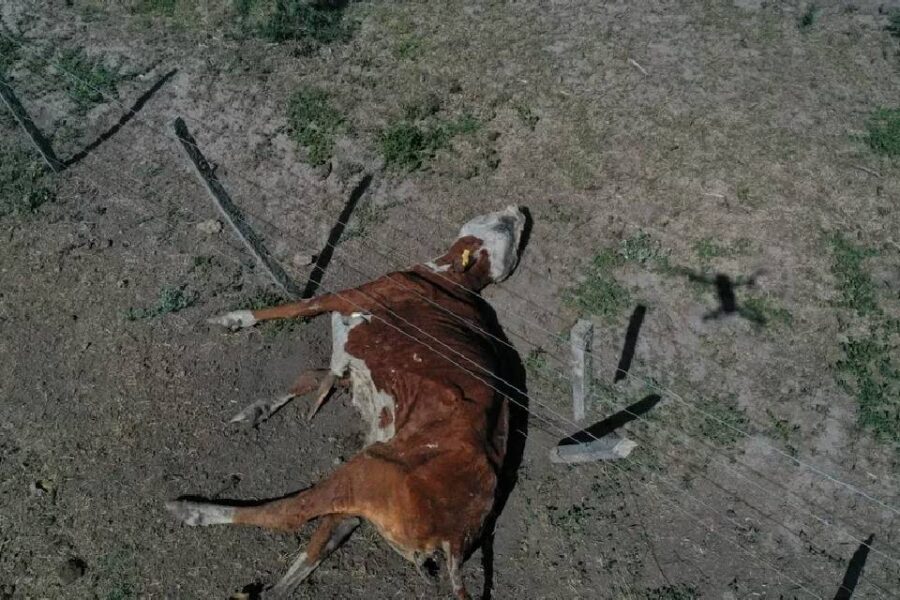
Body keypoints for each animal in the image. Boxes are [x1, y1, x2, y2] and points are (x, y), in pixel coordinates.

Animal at [166, 206, 528, 599]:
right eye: (504, 224)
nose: (518, 210)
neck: (447, 278)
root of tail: (456, 539)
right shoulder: (354, 366)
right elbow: (312, 375)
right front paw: (258, 409)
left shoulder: (350, 296)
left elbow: (295, 308)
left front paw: (233, 318)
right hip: (370, 484)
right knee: (328, 533)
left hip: (369, 468)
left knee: (289, 512)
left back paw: (193, 510)